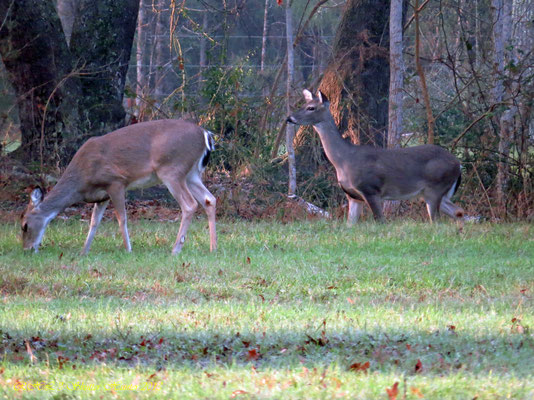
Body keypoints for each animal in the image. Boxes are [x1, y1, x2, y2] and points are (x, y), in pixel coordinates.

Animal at [21, 119, 218, 256]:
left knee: (190, 204)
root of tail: (205, 134)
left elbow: (121, 218)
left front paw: (128, 249)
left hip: (172, 169)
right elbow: (94, 222)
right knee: (209, 199)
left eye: (24, 226)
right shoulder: (101, 195)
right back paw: (212, 248)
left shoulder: (116, 182)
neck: (81, 181)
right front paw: (84, 251)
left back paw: (175, 249)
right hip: (192, 173)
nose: (27, 249)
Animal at [288, 89, 464, 225]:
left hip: (435, 187)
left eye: (311, 108)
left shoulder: (371, 189)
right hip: (433, 193)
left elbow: (381, 221)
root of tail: (458, 164)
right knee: (460, 212)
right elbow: (350, 224)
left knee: (438, 221)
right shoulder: (353, 196)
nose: (289, 118)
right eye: (303, 105)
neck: (344, 160)